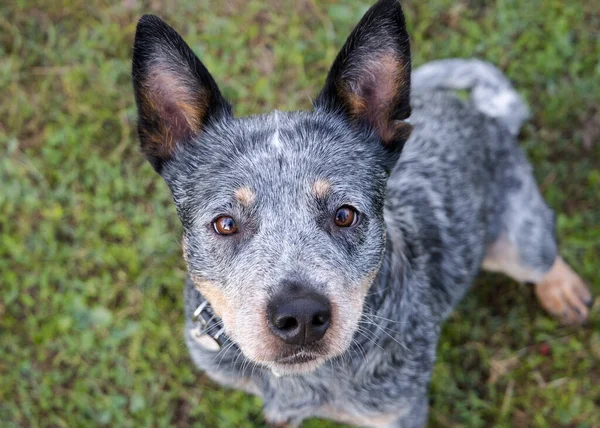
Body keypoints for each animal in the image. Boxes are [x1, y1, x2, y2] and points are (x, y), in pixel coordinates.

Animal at [129, 1, 592, 426]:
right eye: (225, 224)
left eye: (345, 215)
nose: (300, 315)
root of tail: (489, 117)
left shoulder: (397, 413)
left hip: (517, 244)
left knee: (542, 251)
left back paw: (563, 289)